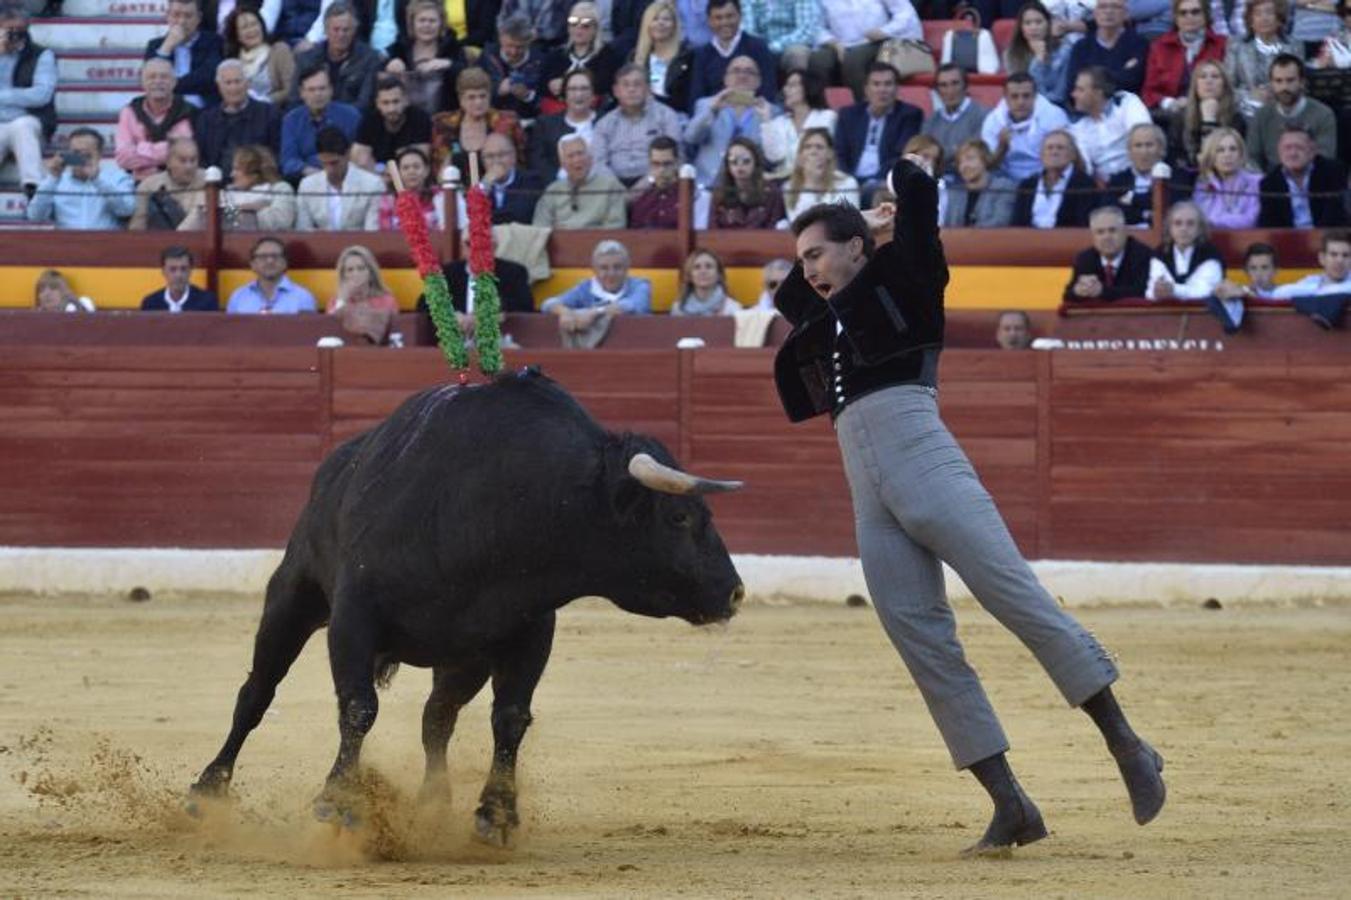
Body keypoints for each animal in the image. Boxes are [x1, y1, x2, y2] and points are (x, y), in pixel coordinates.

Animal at [187, 367, 751, 837]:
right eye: (679, 517)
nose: (735, 592)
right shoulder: (353, 618)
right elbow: (358, 709)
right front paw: (338, 800)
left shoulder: (529, 630)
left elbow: (511, 716)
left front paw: (496, 813)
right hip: (292, 597)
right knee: (256, 693)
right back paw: (207, 789)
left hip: (462, 660)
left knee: (436, 718)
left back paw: (433, 804)